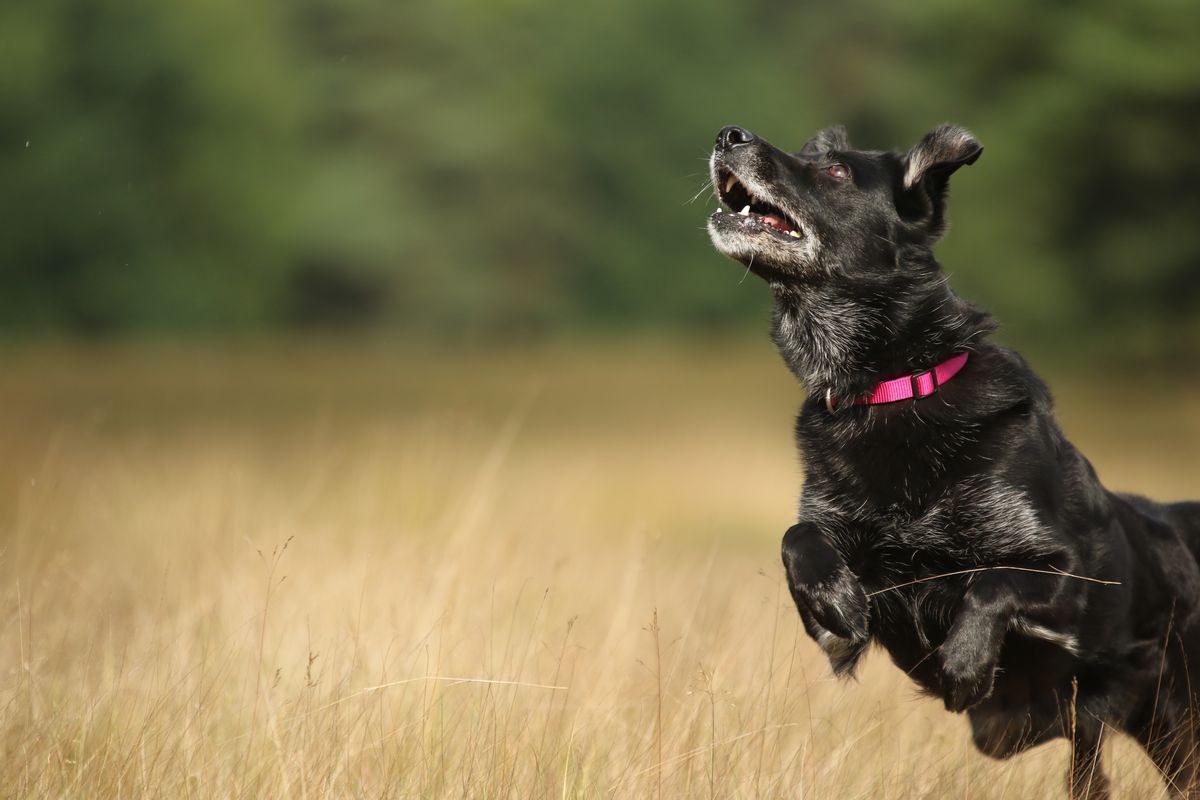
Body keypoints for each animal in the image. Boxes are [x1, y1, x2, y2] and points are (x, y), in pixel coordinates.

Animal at [700, 122, 1200, 796]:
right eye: (810, 156)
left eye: (835, 173)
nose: (730, 134)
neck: (891, 389)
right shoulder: (834, 624)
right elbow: (798, 538)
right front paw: (836, 598)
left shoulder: (1069, 576)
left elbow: (991, 581)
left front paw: (964, 664)